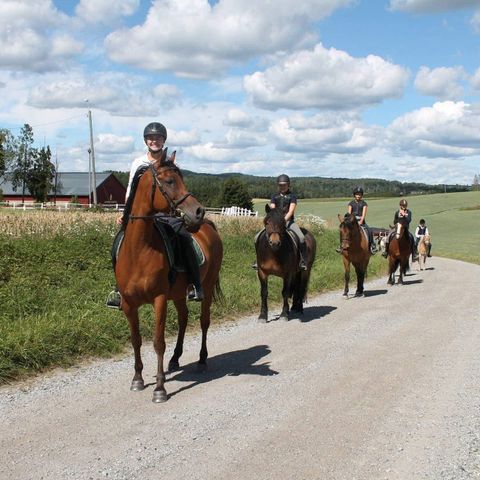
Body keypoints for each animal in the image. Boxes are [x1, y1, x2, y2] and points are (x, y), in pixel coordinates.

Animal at [115, 149, 222, 402]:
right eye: (171, 181)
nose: (198, 212)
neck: (139, 250)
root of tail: (209, 226)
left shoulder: (159, 299)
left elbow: (158, 342)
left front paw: (160, 388)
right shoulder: (129, 304)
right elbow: (136, 340)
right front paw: (138, 379)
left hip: (205, 287)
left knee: (204, 321)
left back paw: (202, 360)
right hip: (179, 294)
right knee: (183, 318)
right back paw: (175, 359)